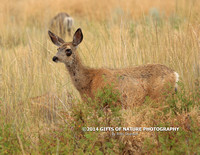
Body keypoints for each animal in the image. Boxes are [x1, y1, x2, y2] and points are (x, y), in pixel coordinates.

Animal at [48, 28, 180, 108]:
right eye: (57, 48)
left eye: (68, 50)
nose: (54, 58)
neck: (87, 81)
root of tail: (175, 74)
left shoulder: (102, 103)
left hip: (159, 96)